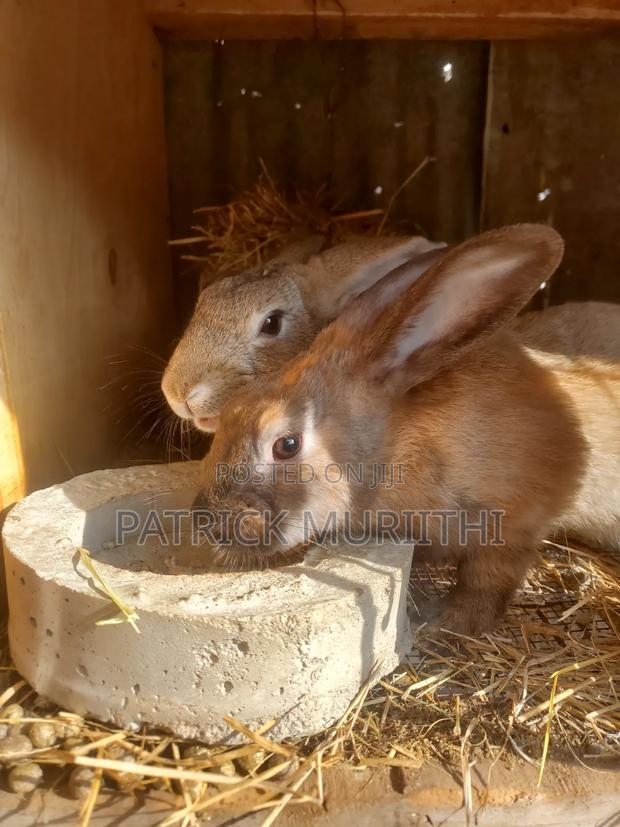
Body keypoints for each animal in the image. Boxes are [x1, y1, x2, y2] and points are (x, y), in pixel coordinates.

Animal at [194, 223, 620, 635]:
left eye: (286, 444)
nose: (207, 522)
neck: (401, 447)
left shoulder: (516, 519)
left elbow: (487, 579)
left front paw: (450, 623)